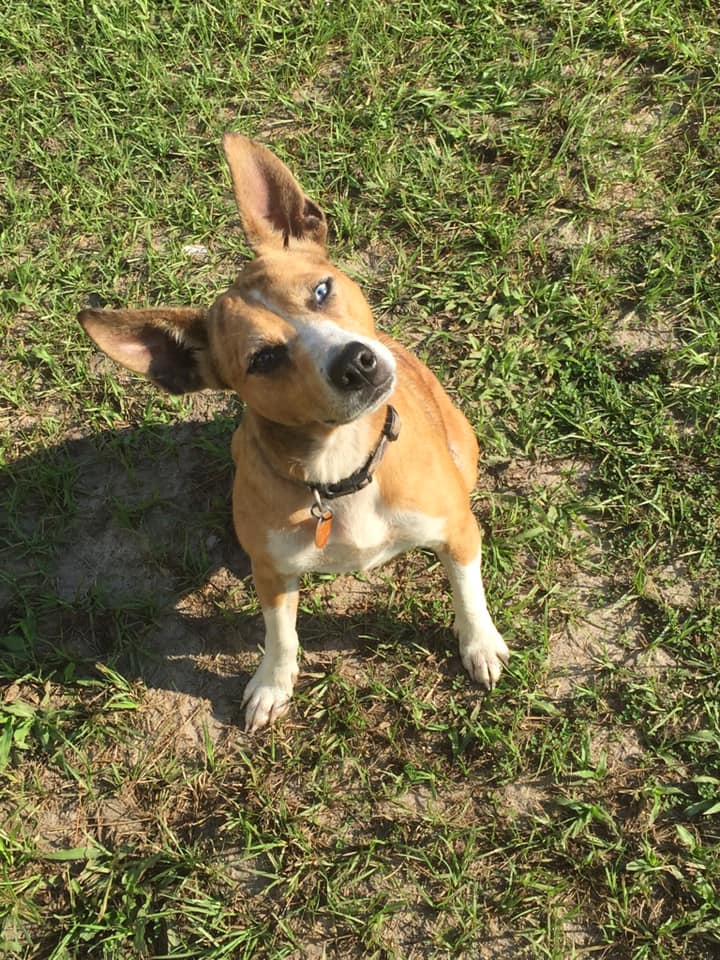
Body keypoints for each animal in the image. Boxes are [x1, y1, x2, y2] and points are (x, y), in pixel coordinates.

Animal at [77, 135, 506, 732]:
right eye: (264, 359)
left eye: (322, 290)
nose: (356, 363)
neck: (342, 467)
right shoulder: (274, 574)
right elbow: (279, 633)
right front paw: (272, 684)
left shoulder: (459, 532)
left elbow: (468, 591)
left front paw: (479, 643)